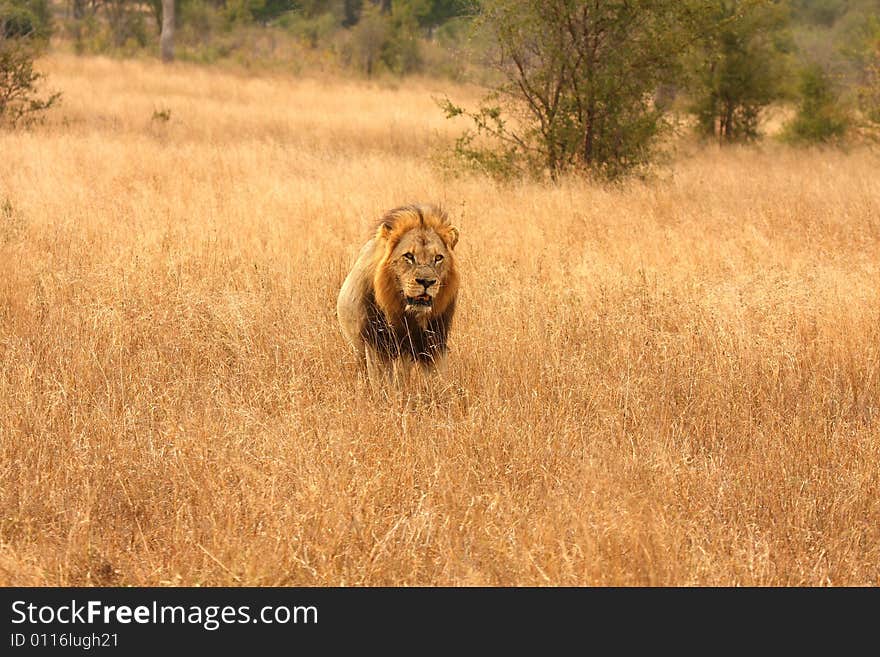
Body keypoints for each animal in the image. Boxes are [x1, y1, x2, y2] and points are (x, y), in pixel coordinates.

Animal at [336, 205, 460, 386]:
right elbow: (384, 385)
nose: (426, 282)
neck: (407, 315)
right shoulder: (377, 347)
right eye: (408, 256)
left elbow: (437, 381)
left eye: (438, 258)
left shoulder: (434, 344)